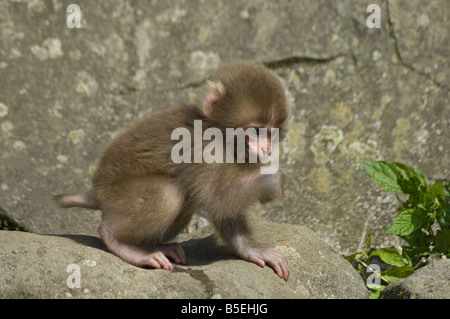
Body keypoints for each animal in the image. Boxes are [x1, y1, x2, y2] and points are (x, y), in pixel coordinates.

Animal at [54, 61, 292, 282]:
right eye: (256, 131)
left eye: (271, 133)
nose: (266, 149)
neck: (216, 129)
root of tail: (96, 191)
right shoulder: (203, 148)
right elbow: (217, 197)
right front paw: (273, 179)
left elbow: (224, 209)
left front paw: (253, 250)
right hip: (116, 195)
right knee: (169, 193)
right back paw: (120, 242)